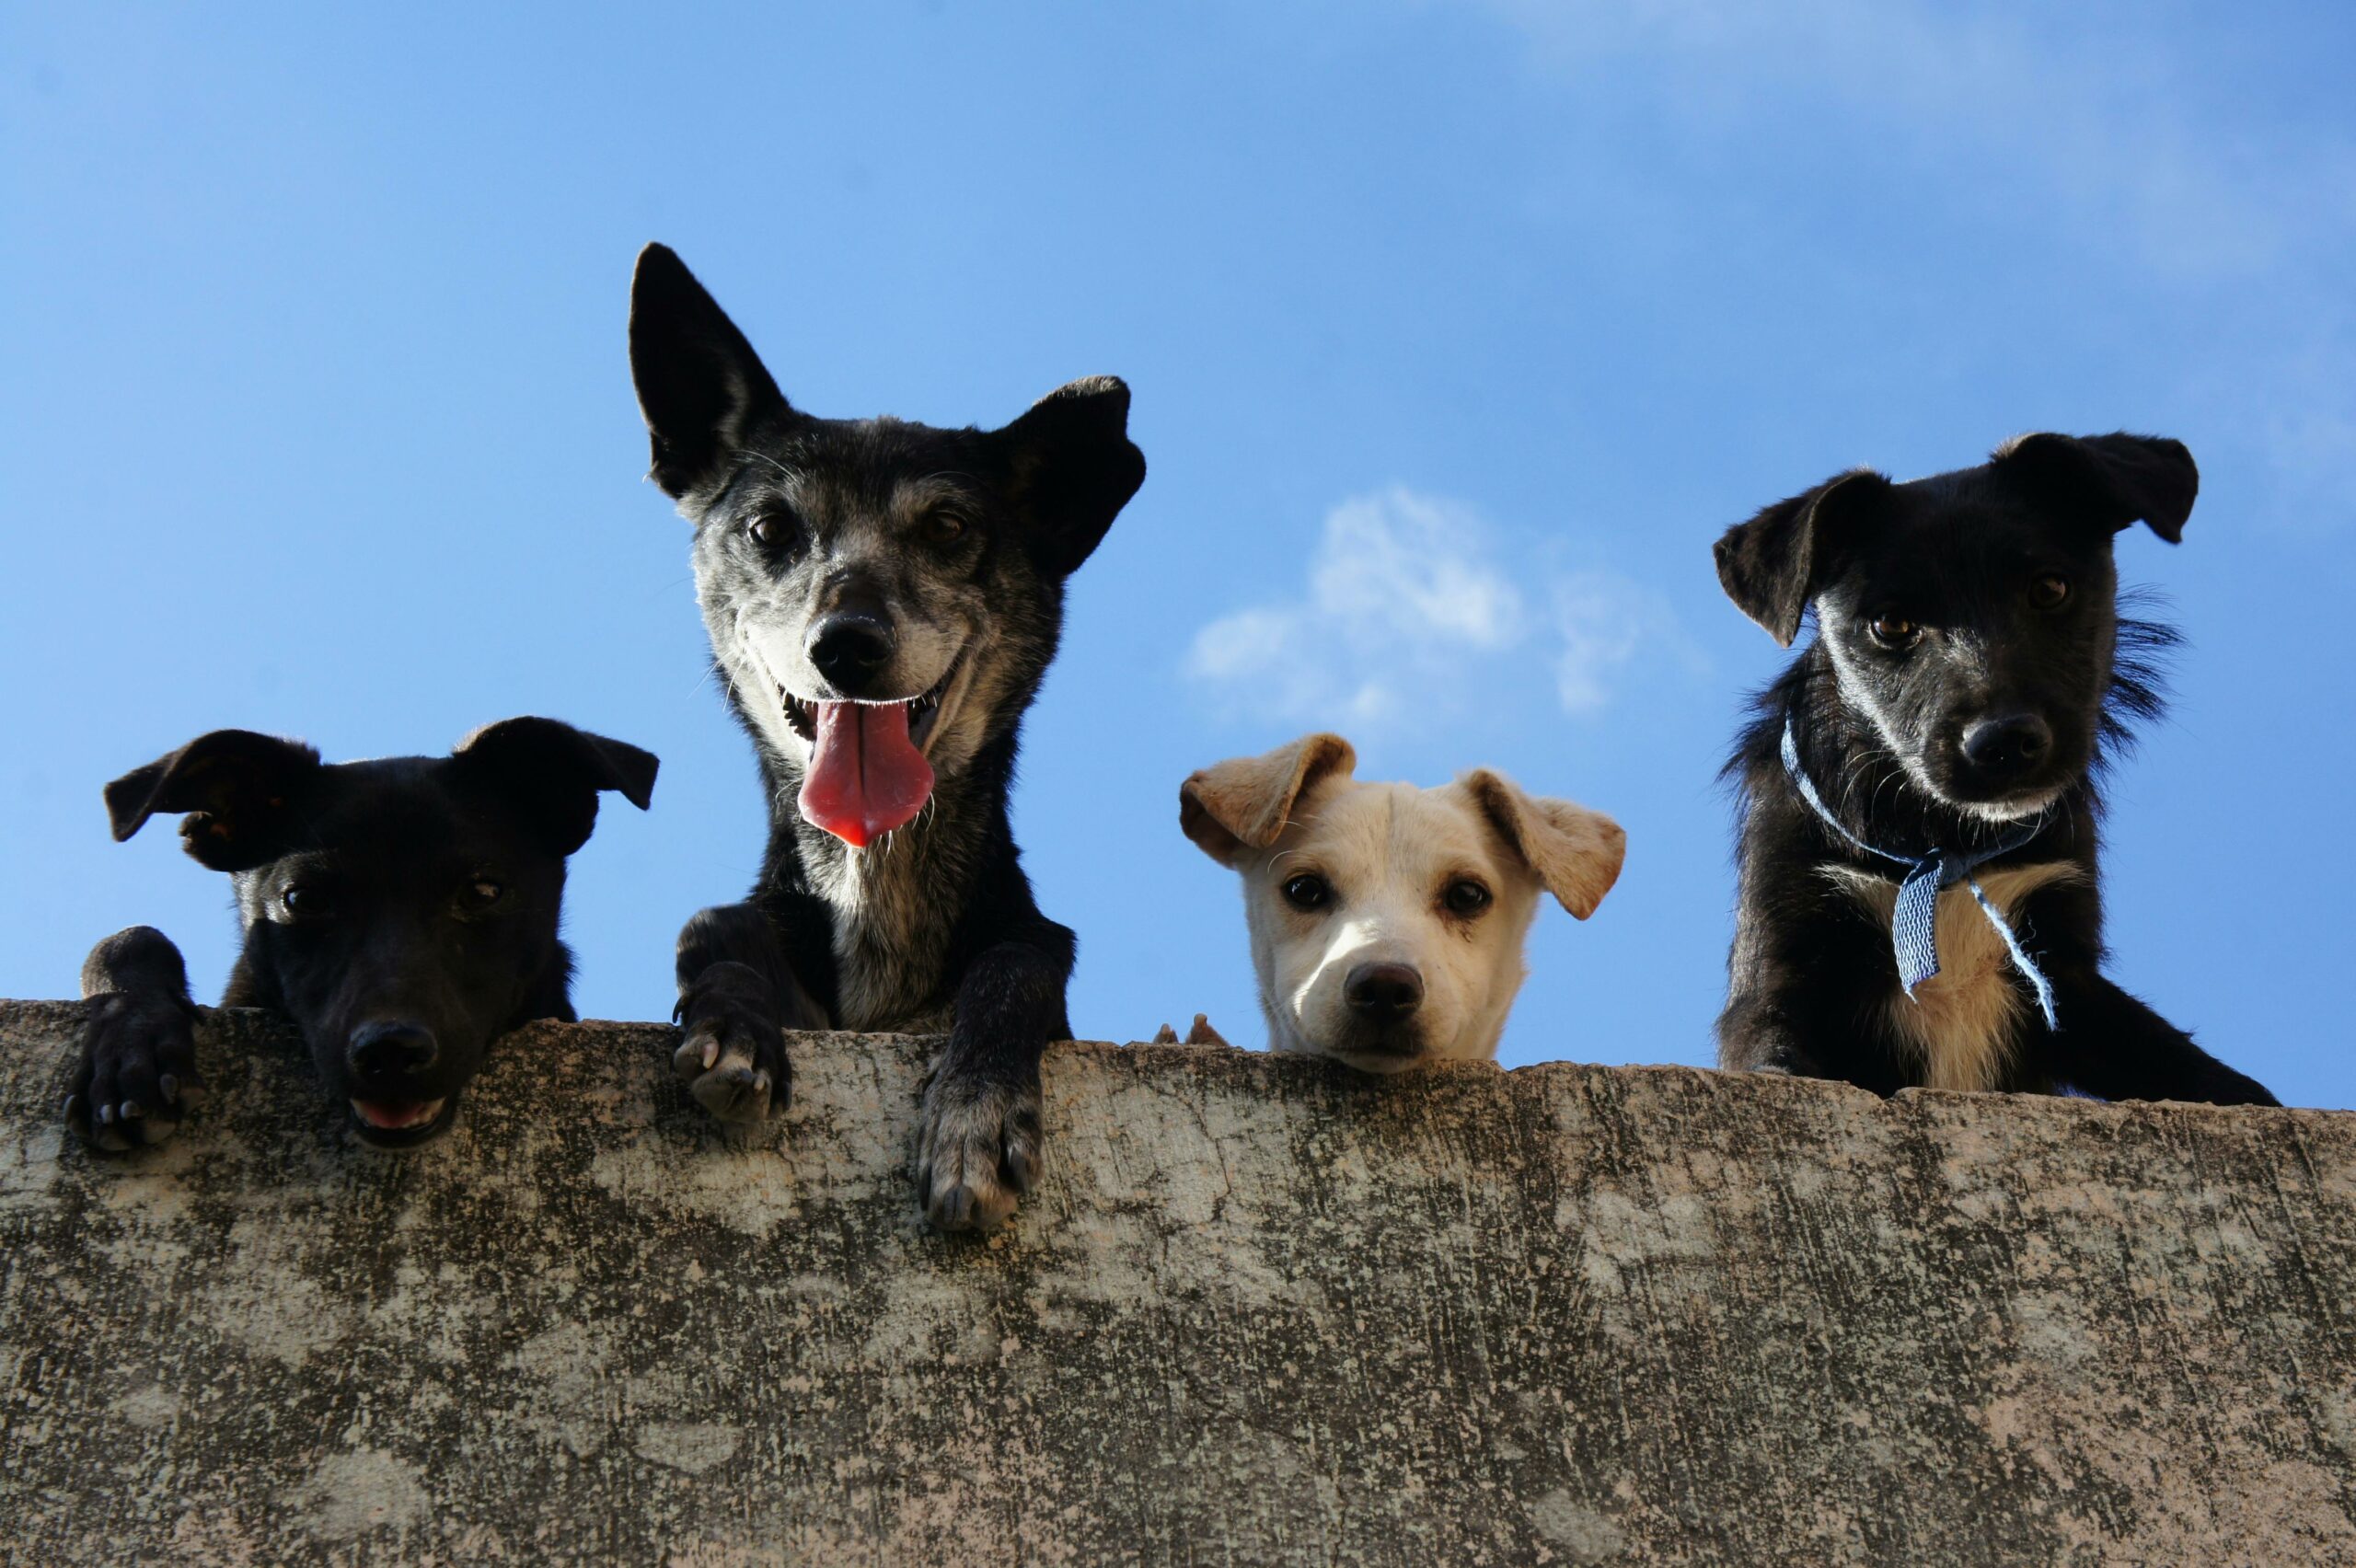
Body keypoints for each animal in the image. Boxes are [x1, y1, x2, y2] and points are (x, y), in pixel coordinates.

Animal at [621, 237, 1145, 1224]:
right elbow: (711, 922)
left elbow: (1017, 963)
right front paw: (734, 1024)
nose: (846, 646)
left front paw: (976, 1114)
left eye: (946, 525)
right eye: (769, 528)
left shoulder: (1030, 957)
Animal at [1724, 432, 2270, 1106]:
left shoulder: (2065, 975)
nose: (2004, 742)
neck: (1944, 850)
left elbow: (2196, 1071)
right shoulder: (1781, 968)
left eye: (2050, 589)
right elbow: (1776, 1056)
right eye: (1891, 624)